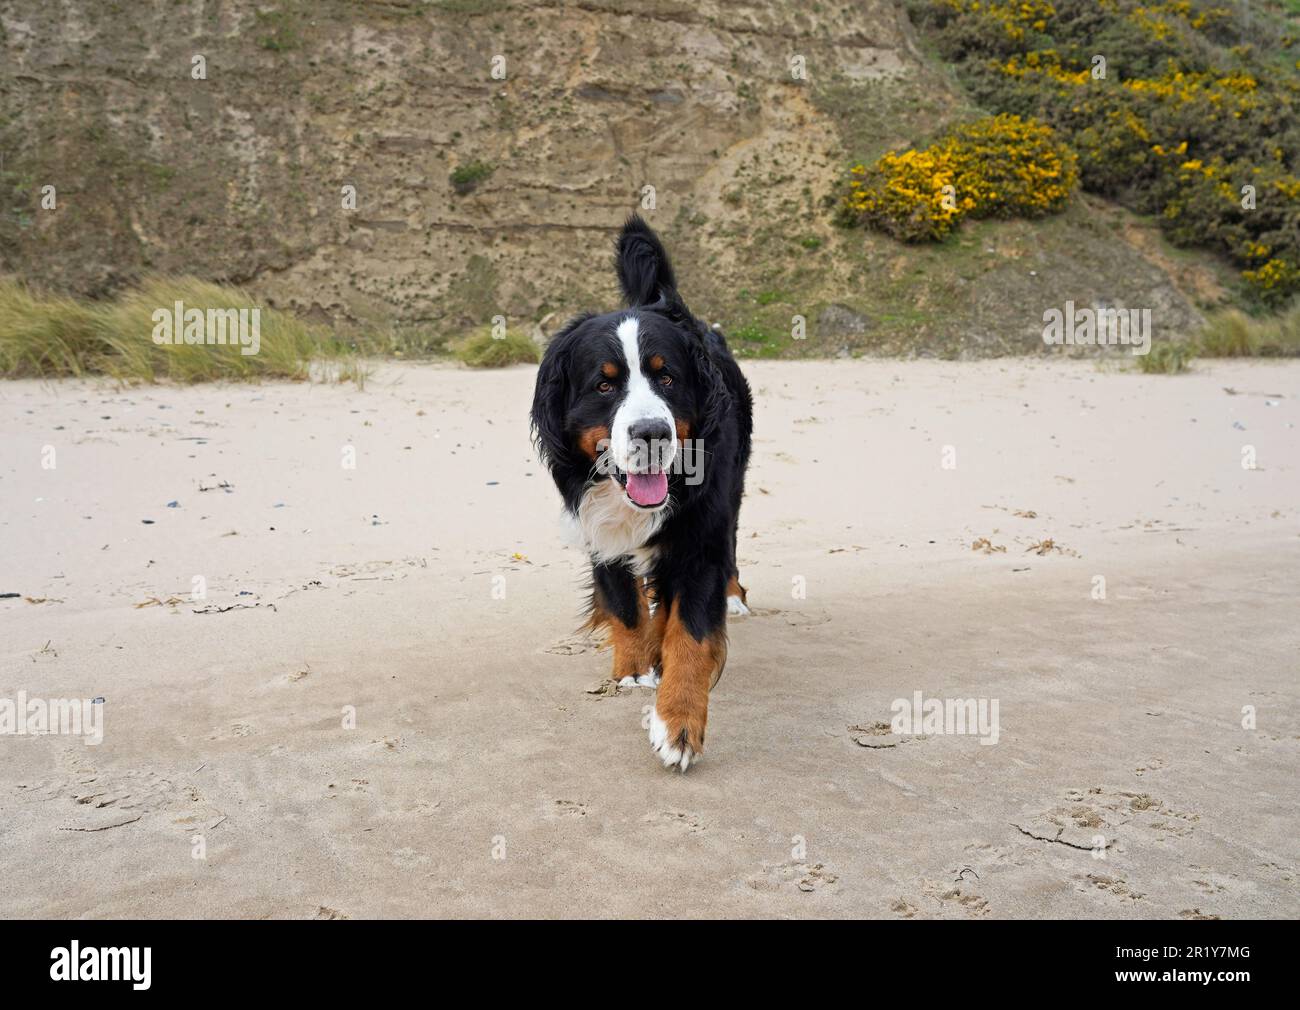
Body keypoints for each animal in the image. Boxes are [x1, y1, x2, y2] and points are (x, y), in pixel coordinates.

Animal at [527, 214, 754, 774]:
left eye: (667, 377)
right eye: (604, 386)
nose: (651, 432)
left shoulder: (700, 538)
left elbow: (691, 635)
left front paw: (678, 724)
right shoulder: (596, 525)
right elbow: (625, 603)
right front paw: (635, 667)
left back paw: (733, 596)